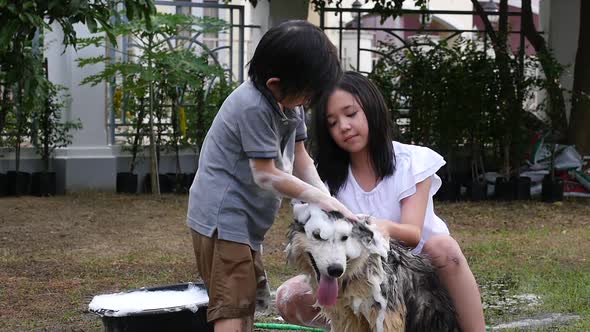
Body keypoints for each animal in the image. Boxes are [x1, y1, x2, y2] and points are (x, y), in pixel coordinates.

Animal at [286, 204, 462, 330]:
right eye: (317, 235)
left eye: (345, 237)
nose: (335, 270)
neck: (359, 272)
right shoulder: (346, 319)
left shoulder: (387, 318)